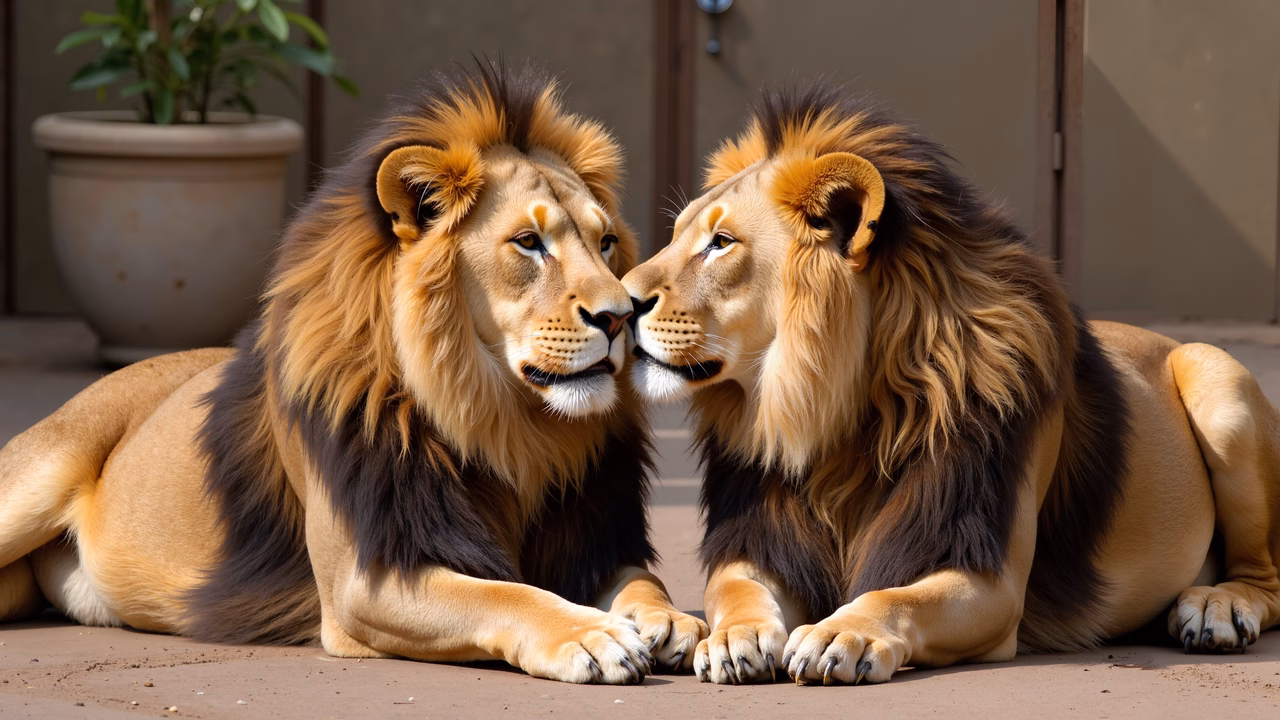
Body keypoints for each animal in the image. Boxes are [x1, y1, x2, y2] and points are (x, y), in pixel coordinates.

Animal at [0, 61, 706, 684]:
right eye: (529, 244)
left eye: (606, 242)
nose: (621, 316)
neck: (505, 422)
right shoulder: (365, 582)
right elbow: (504, 595)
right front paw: (589, 634)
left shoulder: (593, 537)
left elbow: (642, 578)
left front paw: (668, 619)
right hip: (33, 480)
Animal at [621, 80, 1280, 685]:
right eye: (677, 235)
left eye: (721, 243)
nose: (621, 304)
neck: (834, 414)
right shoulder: (760, 542)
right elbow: (736, 589)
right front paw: (736, 636)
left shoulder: (988, 576)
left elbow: (894, 596)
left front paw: (842, 633)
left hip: (1217, 379)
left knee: (1265, 577)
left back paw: (1216, 608)